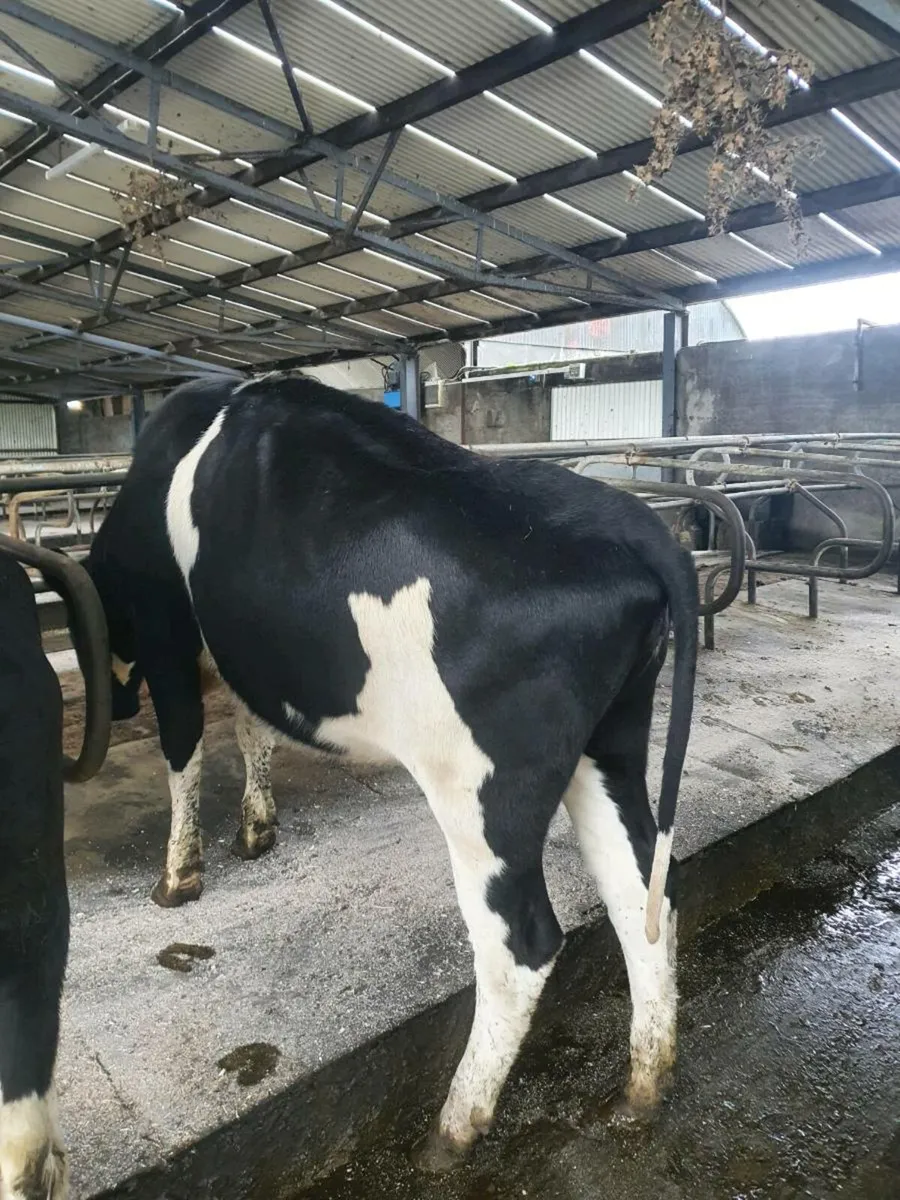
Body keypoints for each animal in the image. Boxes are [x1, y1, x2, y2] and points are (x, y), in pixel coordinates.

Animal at [83, 372, 697, 1169]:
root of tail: (628, 520)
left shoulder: (165, 635)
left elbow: (183, 751)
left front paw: (178, 875)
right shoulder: (252, 661)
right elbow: (253, 730)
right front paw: (256, 828)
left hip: (479, 791)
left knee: (520, 945)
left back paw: (452, 1129)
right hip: (611, 744)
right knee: (640, 893)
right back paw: (642, 1088)